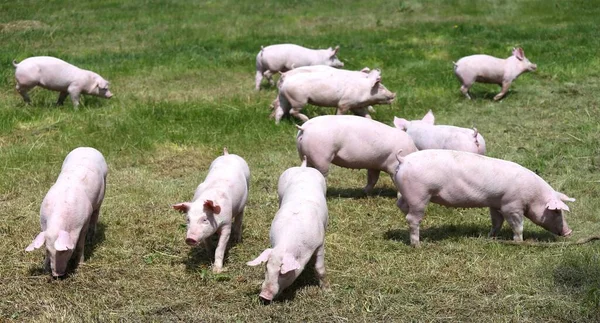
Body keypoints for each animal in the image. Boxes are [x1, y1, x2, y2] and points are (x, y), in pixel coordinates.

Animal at [25, 148, 108, 278]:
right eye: (48, 250)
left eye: (64, 251)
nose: (57, 275)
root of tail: (87, 147)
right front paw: (45, 269)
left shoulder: (84, 222)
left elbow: (80, 244)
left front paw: (80, 264)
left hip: (102, 193)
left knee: (96, 215)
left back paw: (91, 239)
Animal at [394, 151, 576, 247]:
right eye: (557, 212)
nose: (569, 232)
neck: (533, 195)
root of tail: (403, 160)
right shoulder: (512, 205)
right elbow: (517, 225)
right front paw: (519, 242)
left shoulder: (495, 204)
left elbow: (497, 222)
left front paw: (491, 238)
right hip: (419, 195)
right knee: (412, 218)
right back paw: (418, 245)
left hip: (408, 194)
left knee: (400, 204)